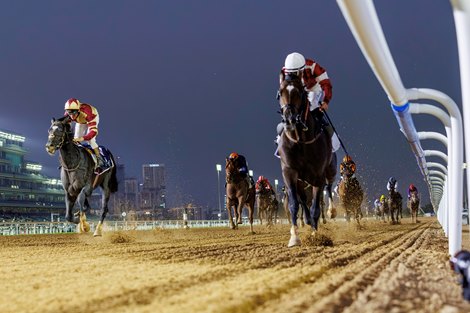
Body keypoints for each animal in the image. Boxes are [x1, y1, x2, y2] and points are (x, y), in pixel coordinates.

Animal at [278, 73, 336, 246]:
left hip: (330, 169)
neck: (301, 140)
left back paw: (331, 211)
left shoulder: (318, 175)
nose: (290, 119)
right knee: (303, 200)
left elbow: (316, 207)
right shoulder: (289, 172)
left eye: (299, 92)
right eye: (280, 92)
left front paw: (316, 236)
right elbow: (294, 204)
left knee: (329, 186)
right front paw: (294, 237)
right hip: (301, 181)